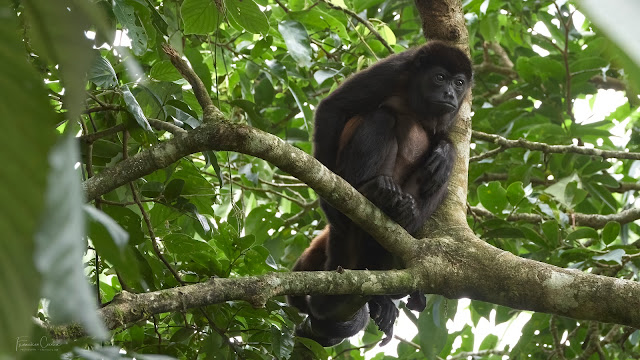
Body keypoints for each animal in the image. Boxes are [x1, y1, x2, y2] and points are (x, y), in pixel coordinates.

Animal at [288, 40, 472, 348]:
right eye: (440, 77)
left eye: (459, 83)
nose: (449, 94)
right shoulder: (393, 70)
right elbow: (333, 107)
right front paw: (329, 206)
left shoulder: (456, 110)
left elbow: (444, 141)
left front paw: (446, 153)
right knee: (380, 117)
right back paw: (375, 190)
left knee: (439, 180)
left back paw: (405, 215)